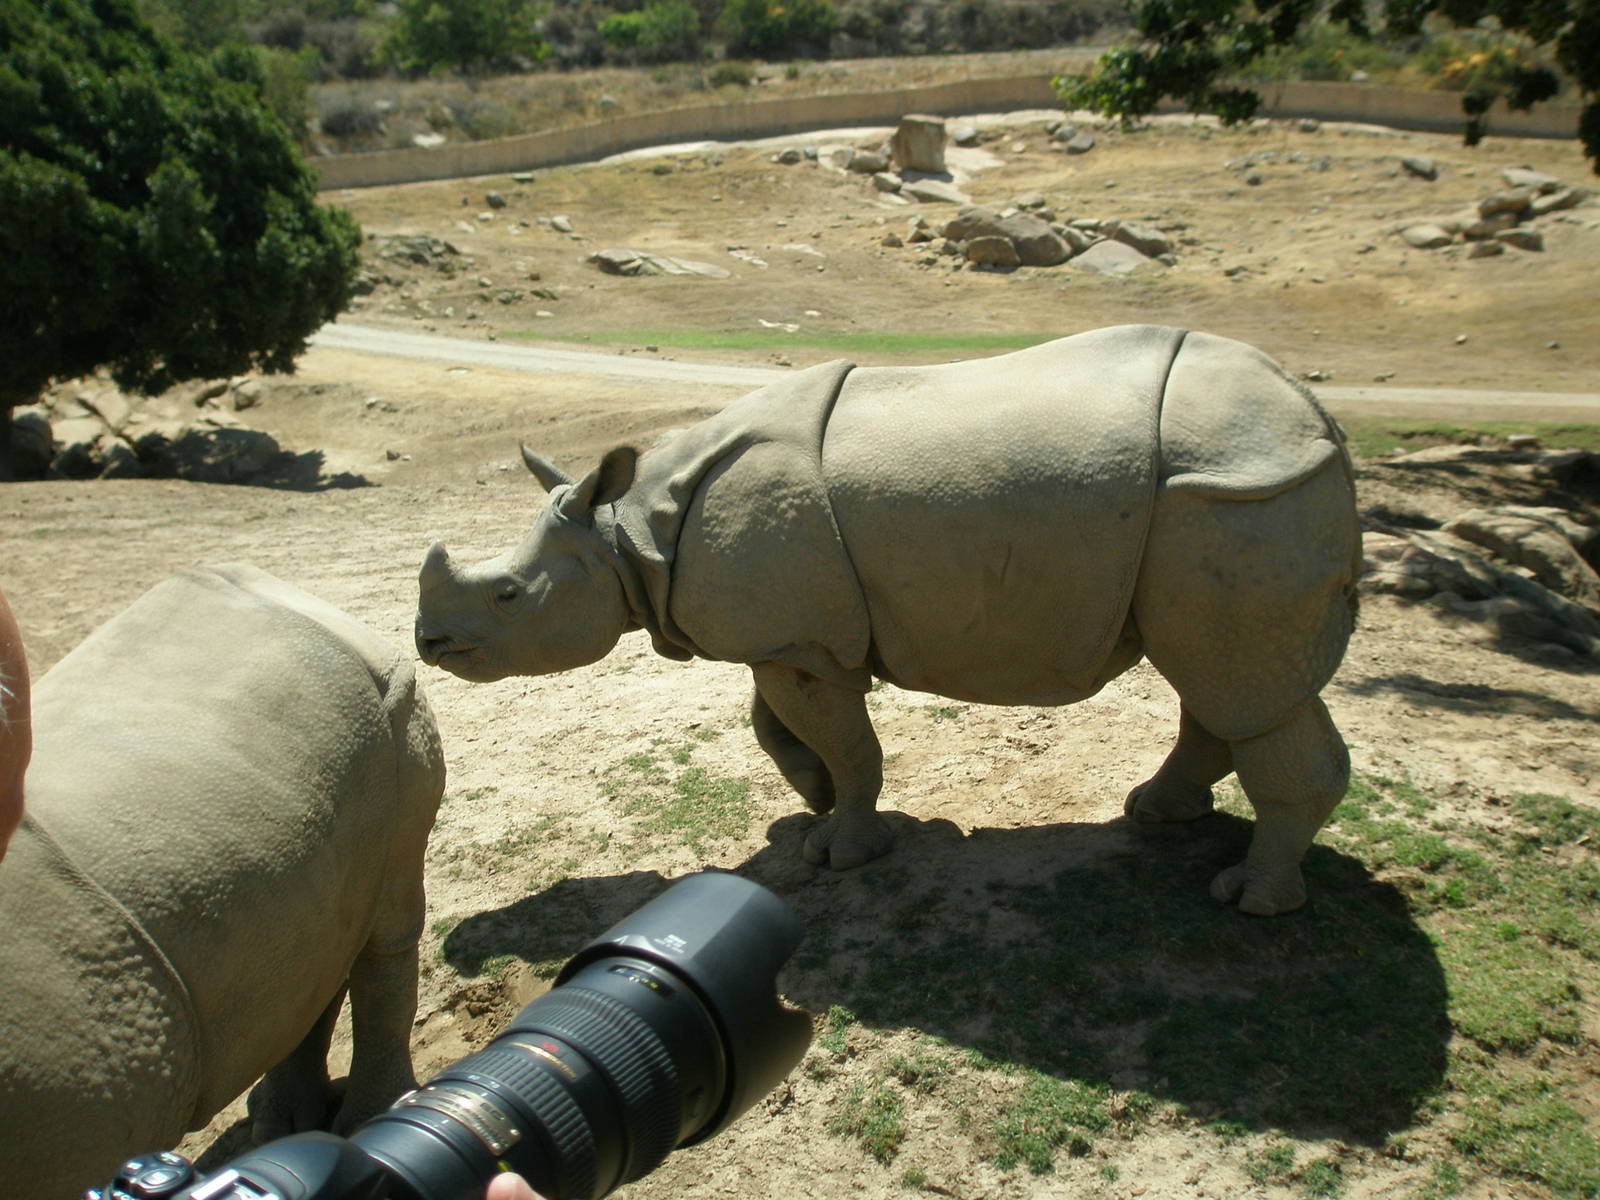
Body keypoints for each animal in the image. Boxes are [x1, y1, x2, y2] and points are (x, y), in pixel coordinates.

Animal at [416, 325, 1361, 915]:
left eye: (508, 596)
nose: (428, 644)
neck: (626, 531)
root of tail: (1319, 420)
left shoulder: (797, 640)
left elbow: (845, 742)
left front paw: (841, 852)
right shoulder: (791, 636)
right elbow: (781, 732)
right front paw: (813, 811)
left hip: (1235, 493)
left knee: (1242, 686)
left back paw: (1249, 901)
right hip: (1220, 499)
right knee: (1221, 680)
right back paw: (1158, 817)